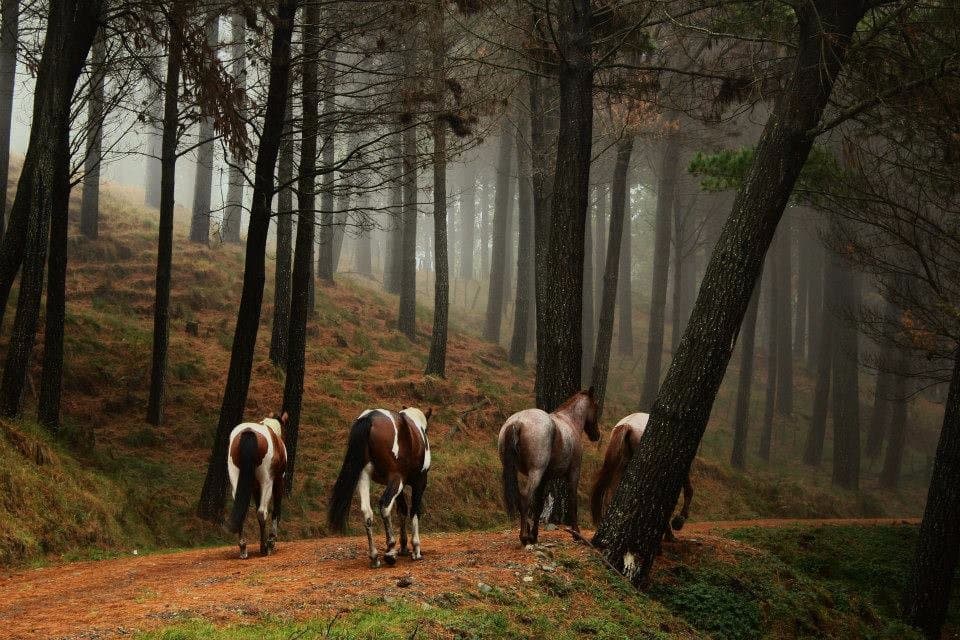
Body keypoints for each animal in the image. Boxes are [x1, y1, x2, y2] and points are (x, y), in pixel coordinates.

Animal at [225, 412, 289, 559]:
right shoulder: (278, 481)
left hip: (236, 479)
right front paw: (270, 541)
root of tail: (248, 432)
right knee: (262, 512)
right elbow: (276, 510)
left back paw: (243, 548)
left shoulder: (254, 487)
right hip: (267, 481)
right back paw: (266, 548)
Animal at [327, 407, 432, 568]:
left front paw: (403, 547)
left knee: (367, 512)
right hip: (395, 479)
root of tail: (370, 418)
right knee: (385, 505)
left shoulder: (401, 486)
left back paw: (375, 557)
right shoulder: (419, 482)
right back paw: (390, 551)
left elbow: (402, 511)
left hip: (364, 476)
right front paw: (416, 549)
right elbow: (414, 512)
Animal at [498, 387, 600, 546]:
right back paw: (524, 536)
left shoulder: (545, 478)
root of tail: (517, 422)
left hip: (516, 471)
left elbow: (539, 505)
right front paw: (576, 533)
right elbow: (573, 501)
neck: (569, 421)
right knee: (525, 498)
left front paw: (535, 534)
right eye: (596, 407)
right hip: (536, 472)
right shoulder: (574, 472)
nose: (597, 435)